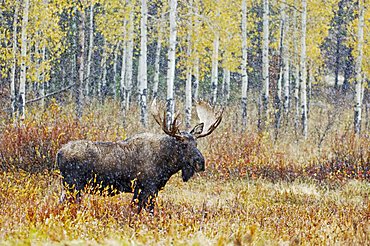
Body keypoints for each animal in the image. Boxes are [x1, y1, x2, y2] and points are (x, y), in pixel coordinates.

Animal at [55, 103, 223, 212]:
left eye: (196, 143)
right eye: (183, 145)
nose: (200, 163)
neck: (167, 165)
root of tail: (58, 153)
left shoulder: (143, 189)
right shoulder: (148, 187)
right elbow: (147, 211)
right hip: (73, 185)